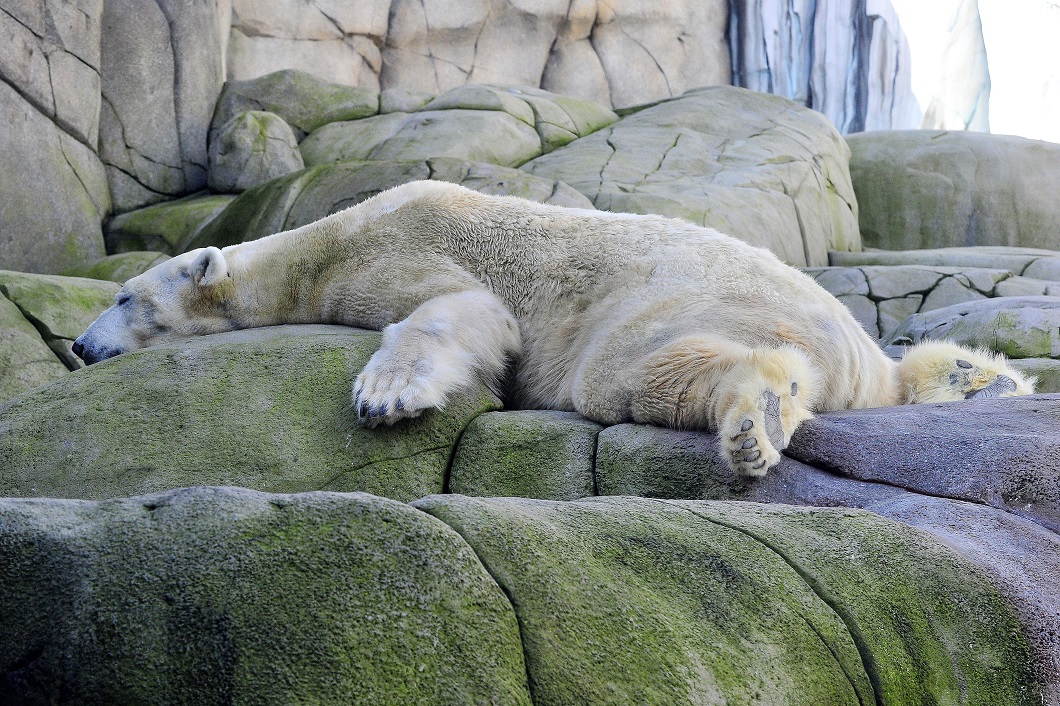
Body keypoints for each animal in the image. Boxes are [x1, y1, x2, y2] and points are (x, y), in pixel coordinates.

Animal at [76, 181, 1034, 474]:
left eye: (124, 298)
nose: (78, 347)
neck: (320, 247)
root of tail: (848, 345)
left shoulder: (407, 247)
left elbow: (463, 314)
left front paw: (387, 397)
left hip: (669, 307)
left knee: (632, 374)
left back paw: (750, 420)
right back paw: (980, 380)